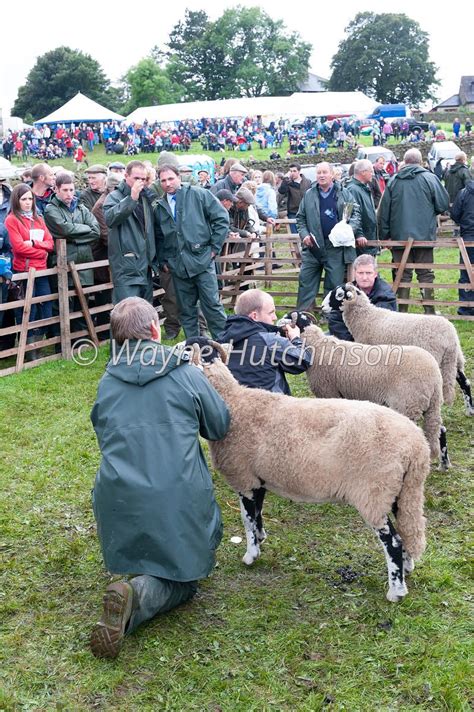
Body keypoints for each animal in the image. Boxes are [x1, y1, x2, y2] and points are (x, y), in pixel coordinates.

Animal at [193, 342, 434, 604]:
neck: (233, 404)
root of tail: (416, 446)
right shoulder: (258, 478)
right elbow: (257, 514)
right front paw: (261, 538)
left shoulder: (244, 478)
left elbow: (246, 519)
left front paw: (251, 555)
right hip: (402, 490)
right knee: (407, 531)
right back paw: (406, 570)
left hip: (374, 492)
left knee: (394, 542)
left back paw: (395, 591)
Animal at [302, 326, 450, 470]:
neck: (317, 347)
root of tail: (434, 376)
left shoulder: (328, 392)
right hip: (432, 406)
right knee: (438, 430)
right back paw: (443, 464)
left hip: (408, 404)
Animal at [322, 284, 474, 418]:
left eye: (339, 295)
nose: (322, 308)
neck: (366, 317)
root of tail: (450, 335)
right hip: (453, 359)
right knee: (465, 383)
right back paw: (470, 411)